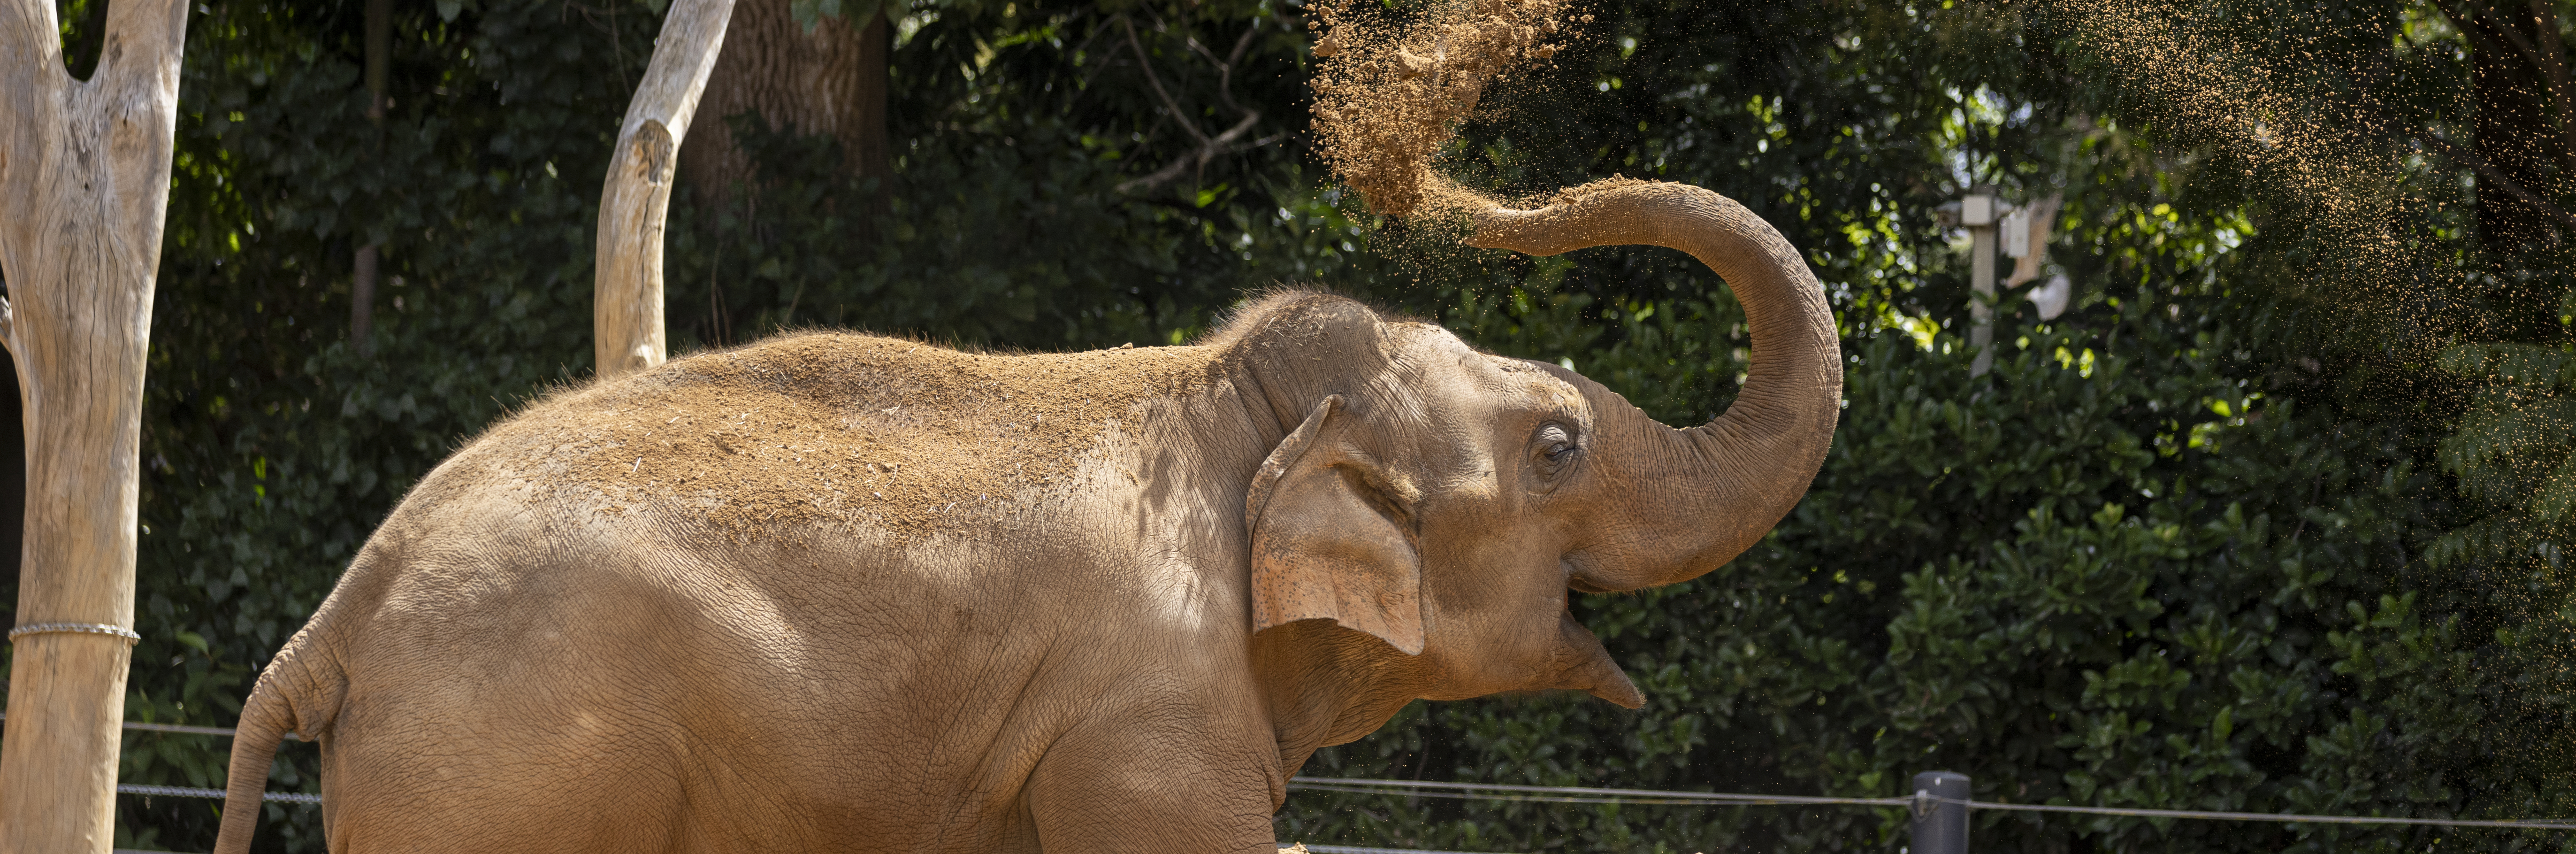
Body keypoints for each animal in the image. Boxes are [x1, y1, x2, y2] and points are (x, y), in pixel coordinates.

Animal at [212, 177, 1841, 853]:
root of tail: (333, 621)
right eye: (1557, 445)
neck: (1239, 413)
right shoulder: (1143, 721)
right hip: (503, 773)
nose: (1466, 196)